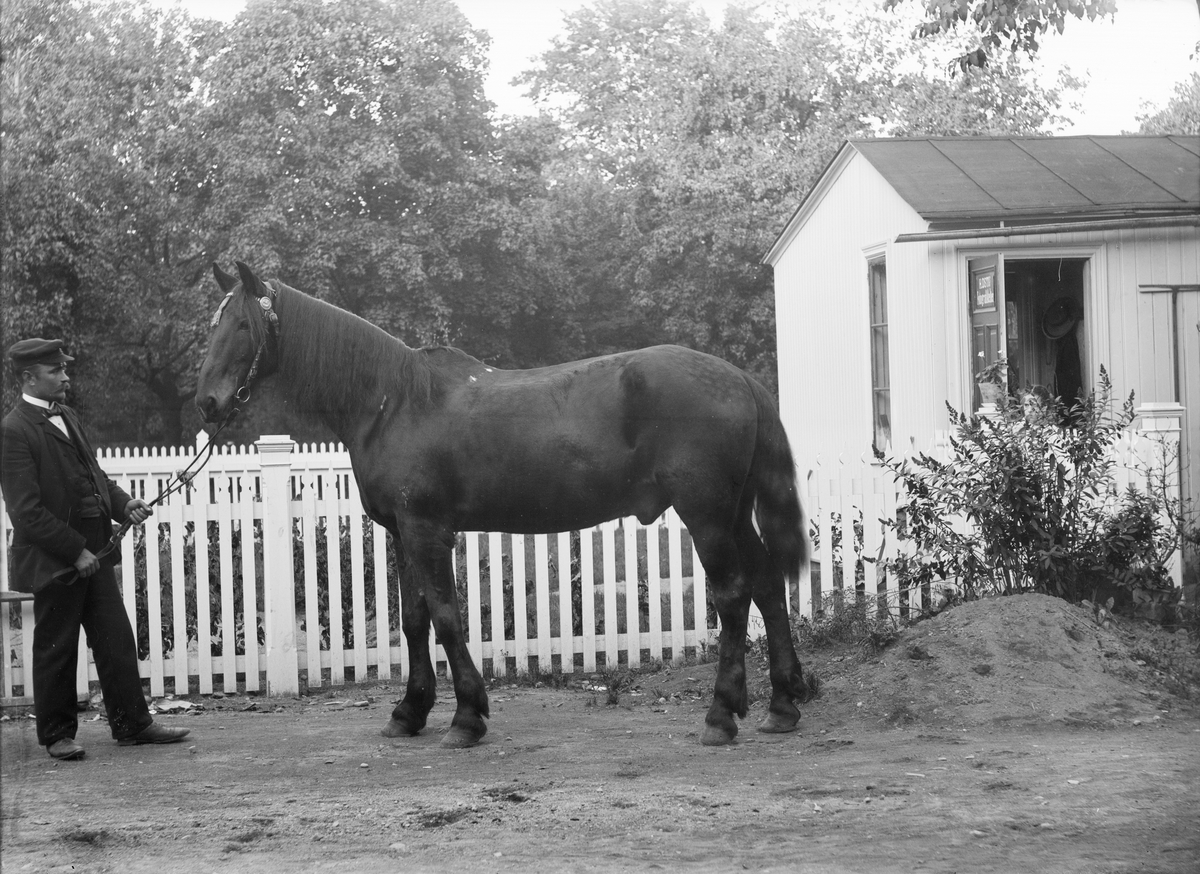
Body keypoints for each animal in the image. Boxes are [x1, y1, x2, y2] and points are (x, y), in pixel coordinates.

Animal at [196, 261, 813, 748]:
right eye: (214, 324)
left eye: (244, 325)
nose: (207, 402)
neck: (392, 402)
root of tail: (739, 379)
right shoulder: (400, 532)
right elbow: (414, 620)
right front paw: (409, 712)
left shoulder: (427, 530)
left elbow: (446, 617)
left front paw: (467, 716)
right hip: (733, 515)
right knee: (766, 585)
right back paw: (782, 706)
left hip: (706, 515)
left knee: (732, 596)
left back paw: (721, 715)